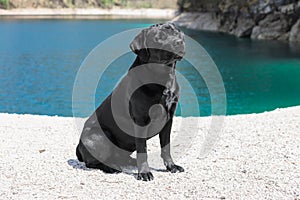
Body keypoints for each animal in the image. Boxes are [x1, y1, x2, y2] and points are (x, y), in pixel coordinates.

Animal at [75, 22, 185, 181]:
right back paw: (111, 167)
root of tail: (79, 146)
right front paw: (144, 172)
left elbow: (166, 146)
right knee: (92, 162)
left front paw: (172, 166)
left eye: (177, 33)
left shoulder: (168, 119)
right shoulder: (140, 120)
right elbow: (142, 150)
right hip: (100, 137)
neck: (162, 77)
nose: (179, 42)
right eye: (158, 38)